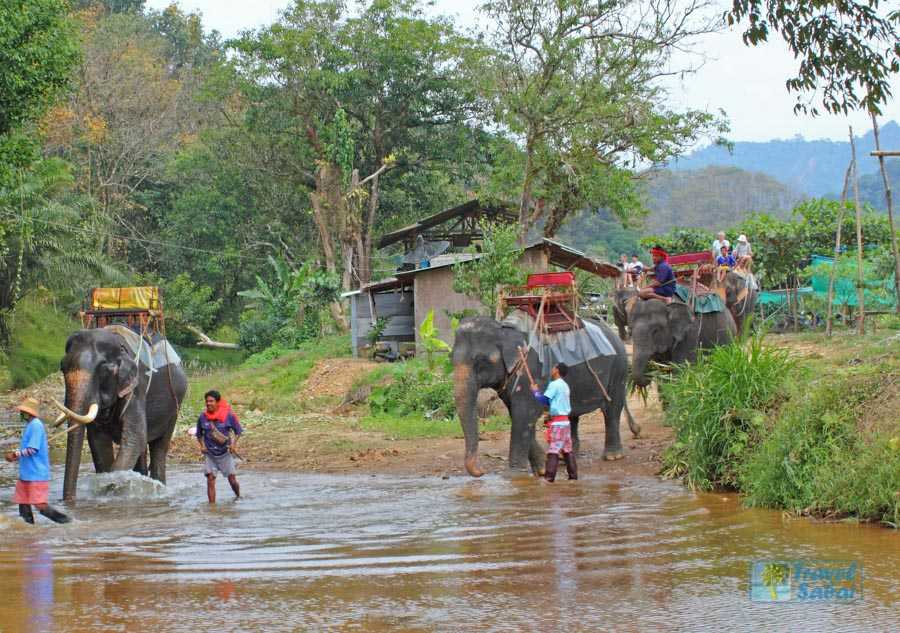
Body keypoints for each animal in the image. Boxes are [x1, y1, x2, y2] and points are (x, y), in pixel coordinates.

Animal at [56, 326, 188, 498]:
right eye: (62, 368)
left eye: (103, 369)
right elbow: (98, 441)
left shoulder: (136, 388)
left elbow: (134, 438)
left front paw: (113, 486)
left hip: (175, 406)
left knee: (158, 447)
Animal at [450, 314, 640, 476]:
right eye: (451, 359)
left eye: (480, 361)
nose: (481, 471)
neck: (504, 328)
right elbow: (519, 416)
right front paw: (541, 469)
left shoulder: (531, 369)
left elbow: (523, 415)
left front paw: (515, 475)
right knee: (572, 414)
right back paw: (566, 456)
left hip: (619, 368)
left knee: (612, 409)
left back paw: (612, 456)